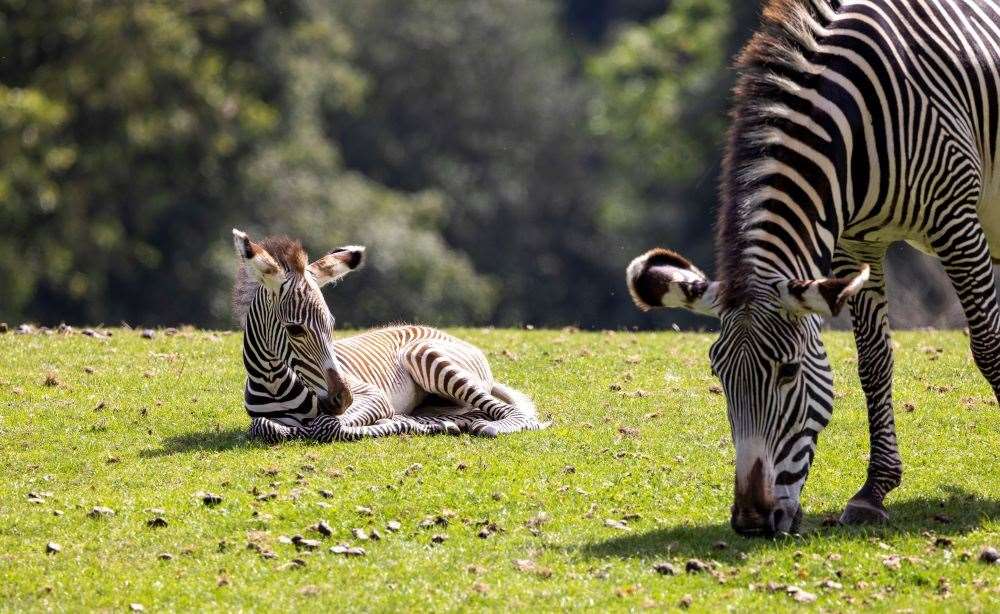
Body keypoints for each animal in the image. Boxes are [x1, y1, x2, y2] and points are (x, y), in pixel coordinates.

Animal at [231, 230, 552, 442]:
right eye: (295, 329)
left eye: (331, 325)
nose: (344, 398)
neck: (274, 382)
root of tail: (440, 332)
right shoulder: (265, 419)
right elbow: (265, 426)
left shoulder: (374, 396)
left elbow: (326, 426)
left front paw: (393, 424)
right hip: (444, 402)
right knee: (470, 414)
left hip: (427, 356)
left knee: (510, 414)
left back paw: (487, 427)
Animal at [624, 0, 1000, 536]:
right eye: (718, 373)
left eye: (788, 371)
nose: (751, 522)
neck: (856, 122)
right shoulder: (856, 243)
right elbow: (874, 363)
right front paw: (873, 493)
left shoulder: (956, 223)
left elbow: (989, 349)